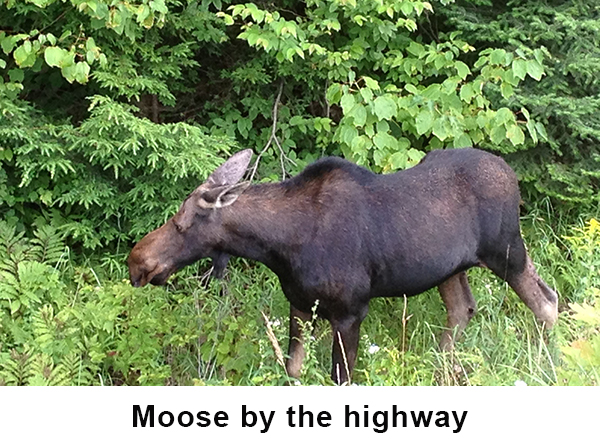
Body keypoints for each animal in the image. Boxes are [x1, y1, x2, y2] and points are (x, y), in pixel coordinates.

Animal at [129, 147, 560, 384]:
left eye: (182, 224)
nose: (137, 262)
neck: (279, 248)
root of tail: (512, 175)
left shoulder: (350, 310)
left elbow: (341, 379)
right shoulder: (300, 303)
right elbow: (294, 369)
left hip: (506, 250)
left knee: (547, 301)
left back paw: (549, 364)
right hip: (452, 267)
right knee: (462, 308)